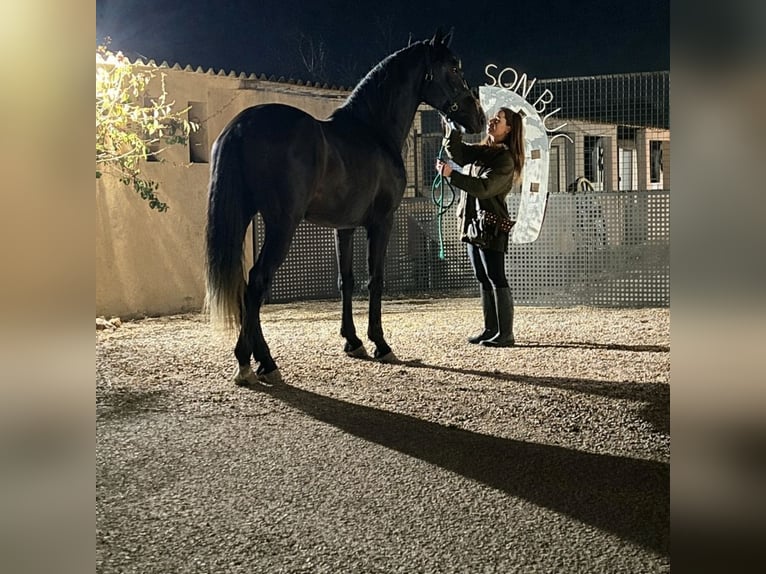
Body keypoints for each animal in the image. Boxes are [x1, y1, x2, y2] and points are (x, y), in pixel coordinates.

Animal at [205, 29, 486, 386]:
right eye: (453, 68)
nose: (478, 118)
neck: (374, 131)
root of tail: (240, 126)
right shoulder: (381, 222)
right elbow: (376, 280)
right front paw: (380, 344)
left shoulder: (345, 226)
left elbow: (347, 281)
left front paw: (352, 342)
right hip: (281, 224)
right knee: (256, 282)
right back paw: (257, 362)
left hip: (242, 217)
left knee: (245, 286)